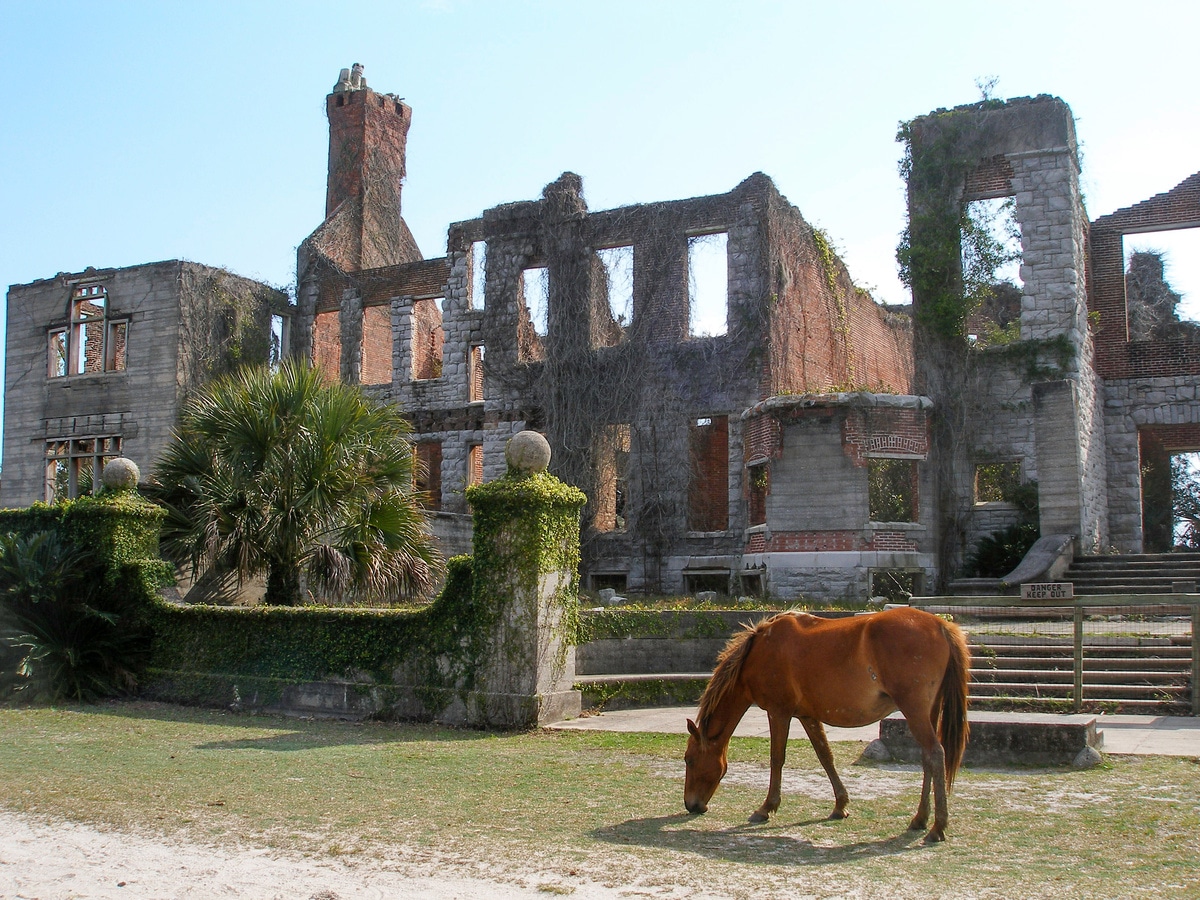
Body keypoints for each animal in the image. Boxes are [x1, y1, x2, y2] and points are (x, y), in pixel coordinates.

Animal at [686, 607, 964, 844]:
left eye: (689, 759)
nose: (691, 805)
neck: (761, 650)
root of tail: (940, 625)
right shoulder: (808, 716)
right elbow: (825, 756)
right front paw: (840, 805)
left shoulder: (778, 712)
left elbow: (777, 758)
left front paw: (766, 807)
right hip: (929, 712)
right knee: (927, 759)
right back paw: (920, 819)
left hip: (914, 710)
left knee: (935, 754)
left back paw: (938, 827)